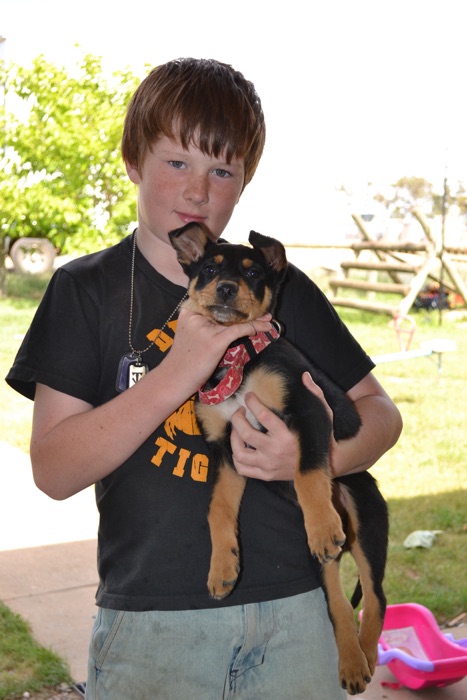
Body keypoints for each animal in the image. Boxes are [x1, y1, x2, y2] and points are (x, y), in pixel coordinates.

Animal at [170, 221, 390, 692]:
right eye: (209, 268)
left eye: (254, 273)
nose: (227, 289)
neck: (236, 357)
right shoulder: (227, 449)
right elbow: (218, 508)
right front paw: (223, 569)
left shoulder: (308, 412)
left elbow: (307, 471)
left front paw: (322, 525)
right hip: (319, 559)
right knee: (336, 602)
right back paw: (351, 663)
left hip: (366, 522)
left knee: (375, 595)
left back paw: (365, 652)